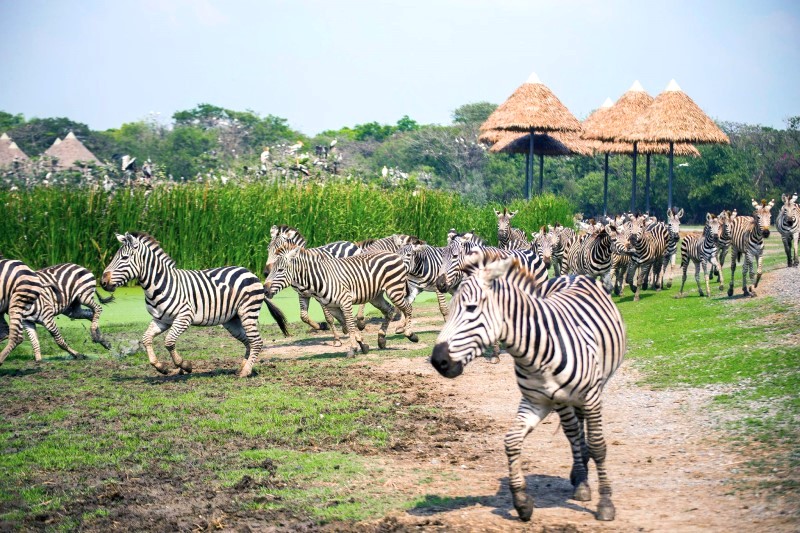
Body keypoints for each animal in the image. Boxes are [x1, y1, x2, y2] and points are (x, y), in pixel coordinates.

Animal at [266, 245, 418, 358]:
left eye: (280, 270)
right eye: (270, 271)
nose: (265, 290)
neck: (319, 278)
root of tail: (394, 253)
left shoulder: (345, 302)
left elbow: (350, 325)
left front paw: (352, 349)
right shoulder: (332, 306)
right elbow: (347, 324)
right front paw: (362, 345)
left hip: (394, 290)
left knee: (408, 308)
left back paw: (410, 334)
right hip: (376, 297)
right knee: (389, 310)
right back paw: (381, 339)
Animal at [432, 251, 624, 520]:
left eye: (471, 308)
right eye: (448, 312)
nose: (437, 361)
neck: (536, 350)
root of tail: (570, 275)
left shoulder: (591, 396)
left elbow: (599, 446)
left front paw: (606, 503)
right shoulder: (536, 401)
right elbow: (511, 441)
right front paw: (522, 502)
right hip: (562, 401)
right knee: (573, 431)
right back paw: (581, 477)